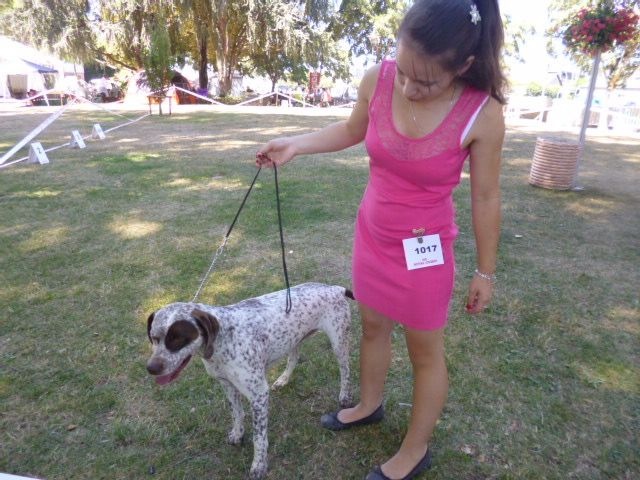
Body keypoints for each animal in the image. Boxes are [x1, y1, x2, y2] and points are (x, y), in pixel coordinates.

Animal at [146, 282, 353, 479]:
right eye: (154, 338)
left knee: (346, 370)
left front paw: (259, 465)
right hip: (294, 339)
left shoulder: (259, 395)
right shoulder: (227, 385)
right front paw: (238, 434)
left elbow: (259, 438)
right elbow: (237, 414)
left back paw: (345, 396)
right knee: (294, 357)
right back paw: (283, 379)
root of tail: (335, 288)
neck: (224, 339)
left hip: (339, 343)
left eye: (178, 339)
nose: (151, 368)